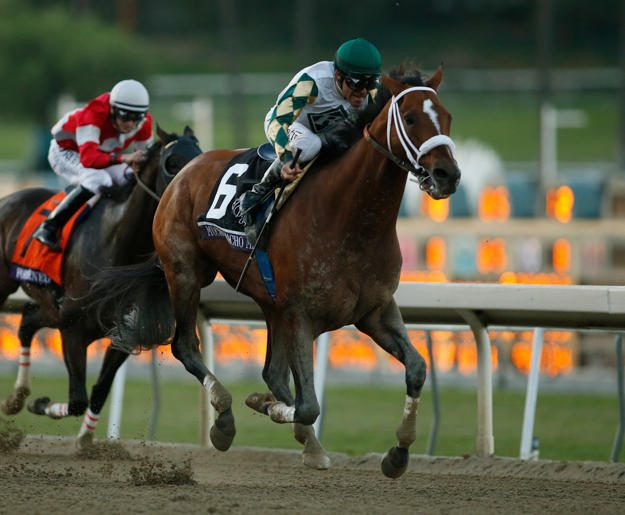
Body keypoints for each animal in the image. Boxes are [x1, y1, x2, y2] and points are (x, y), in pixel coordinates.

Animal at [0, 125, 200, 448]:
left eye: (201, 155)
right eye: (171, 162)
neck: (118, 244)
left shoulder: (126, 334)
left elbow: (98, 392)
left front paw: (85, 441)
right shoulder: (73, 330)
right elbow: (78, 398)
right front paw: (40, 404)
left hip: (50, 306)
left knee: (28, 319)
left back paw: (16, 398)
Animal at [92, 66, 458, 478]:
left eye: (447, 117)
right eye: (409, 118)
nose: (447, 174)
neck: (350, 216)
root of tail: (185, 171)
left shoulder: (373, 310)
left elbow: (416, 369)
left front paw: (397, 454)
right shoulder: (300, 313)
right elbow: (308, 404)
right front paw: (259, 404)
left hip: (270, 304)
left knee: (274, 373)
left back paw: (307, 443)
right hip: (185, 273)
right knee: (186, 346)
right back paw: (225, 418)